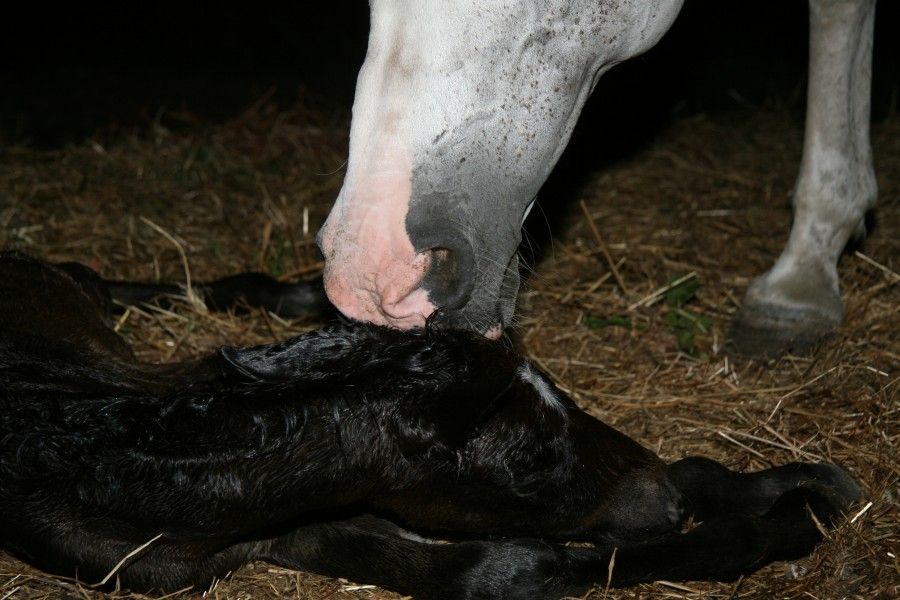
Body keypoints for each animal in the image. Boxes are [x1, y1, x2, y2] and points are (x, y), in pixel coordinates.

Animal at [0, 251, 856, 596]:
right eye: (528, 463)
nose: (665, 506)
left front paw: (808, 484)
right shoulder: (287, 536)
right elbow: (520, 569)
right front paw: (791, 522)